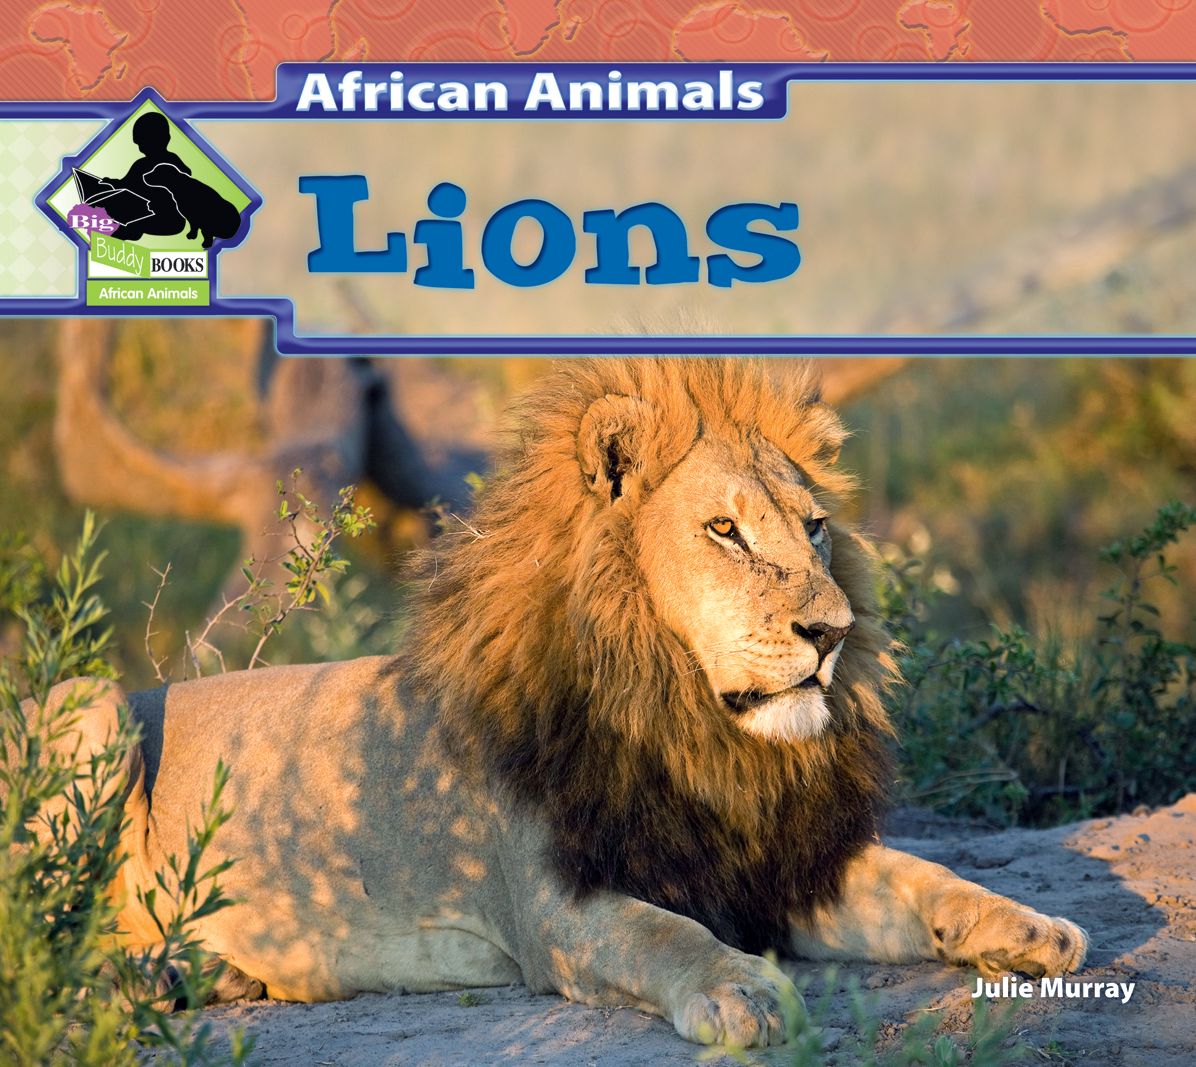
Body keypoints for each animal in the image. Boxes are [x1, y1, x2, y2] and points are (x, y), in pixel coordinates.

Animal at [28, 358, 1086, 1047]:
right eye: (725, 530)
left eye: (817, 526)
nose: (831, 631)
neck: (697, 727)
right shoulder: (553, 910)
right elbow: (665, 932)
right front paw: (744, 989)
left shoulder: (780, 868)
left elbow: (921, 876)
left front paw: (1029, 926)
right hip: (91, 703)